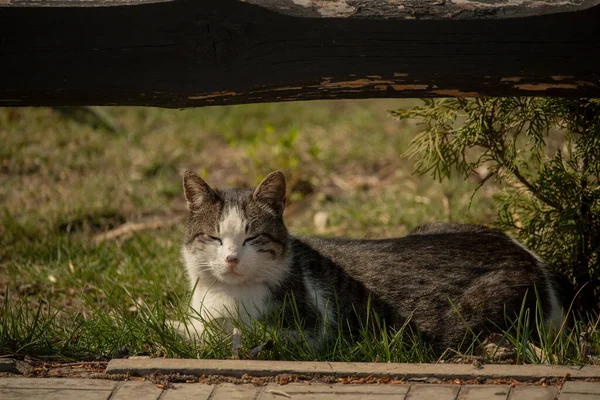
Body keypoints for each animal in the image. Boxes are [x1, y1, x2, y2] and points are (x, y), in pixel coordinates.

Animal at [180, 169, 564, 354]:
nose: (231, 259)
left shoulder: (307, 331)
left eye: (252, 238)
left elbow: (230, 333)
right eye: (214, 238)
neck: (223, 294)